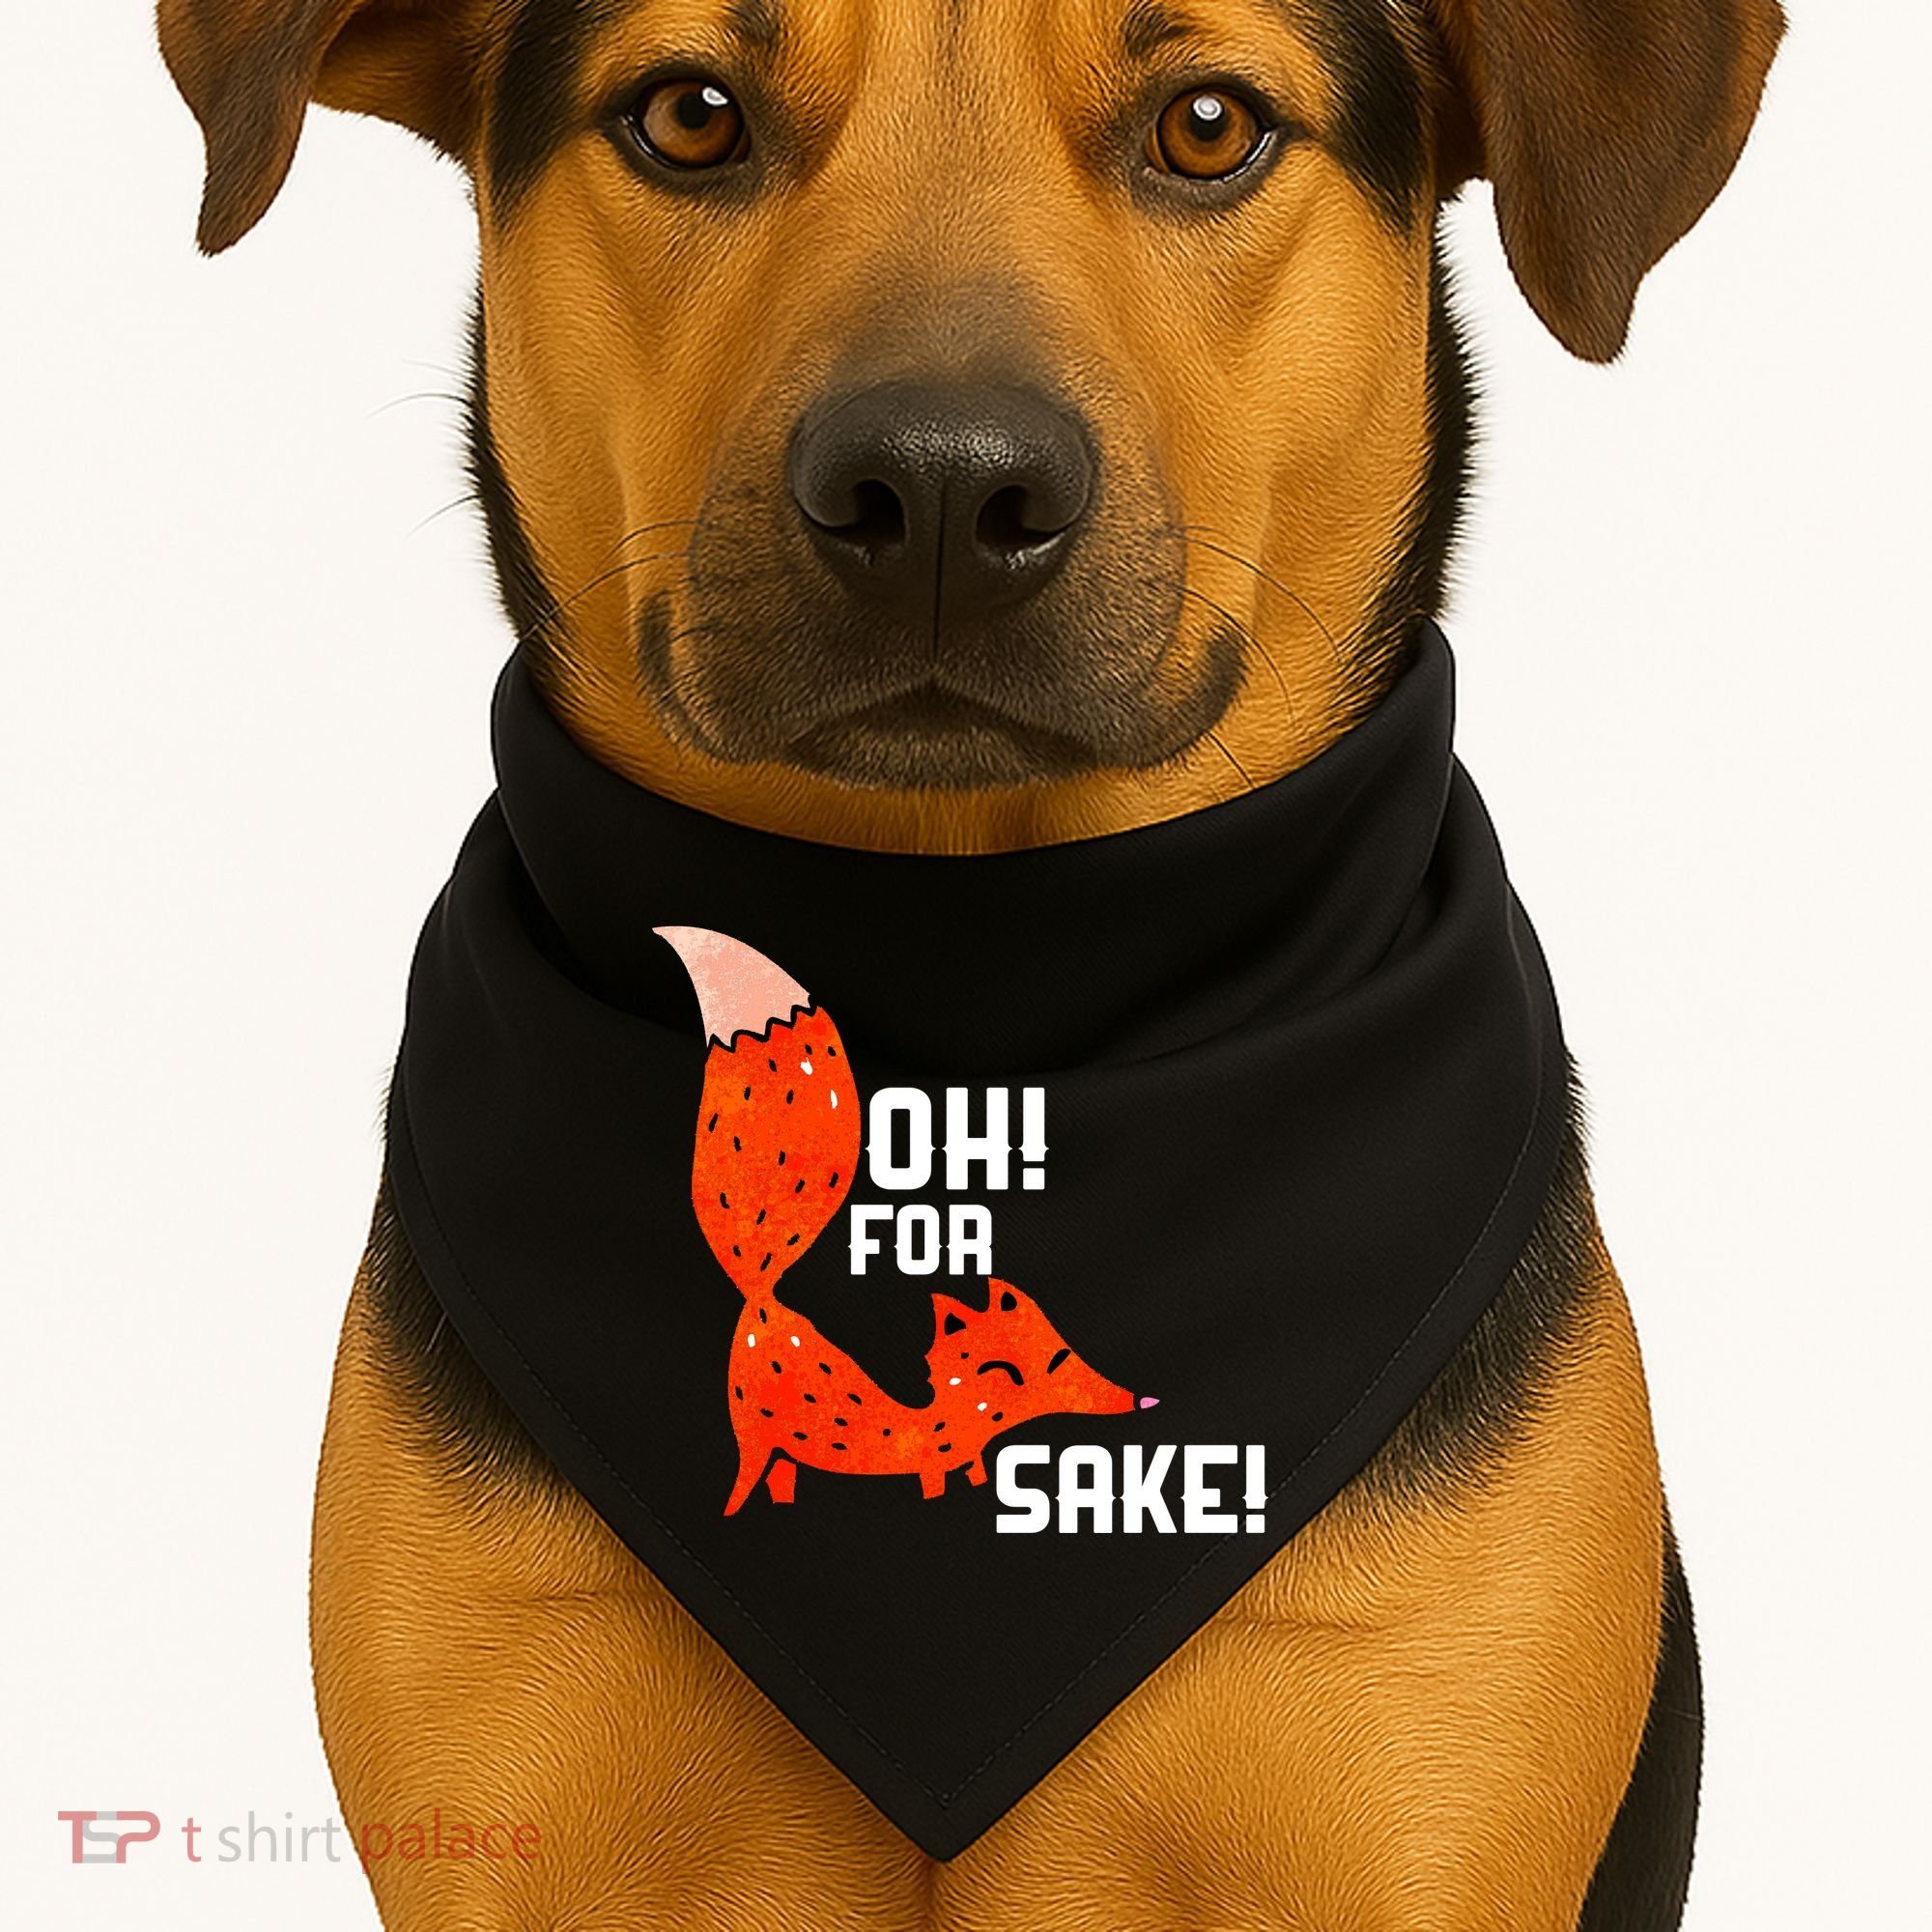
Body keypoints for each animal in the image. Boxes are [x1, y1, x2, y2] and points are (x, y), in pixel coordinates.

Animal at [655, 925, 1153, 1514]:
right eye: (1058, 1362)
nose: (1140, 1400)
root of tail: (760, 1298)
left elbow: (974, 1471)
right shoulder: (929, 1463)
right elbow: (935, 1481)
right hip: (757, 1435)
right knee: (752, 1471)